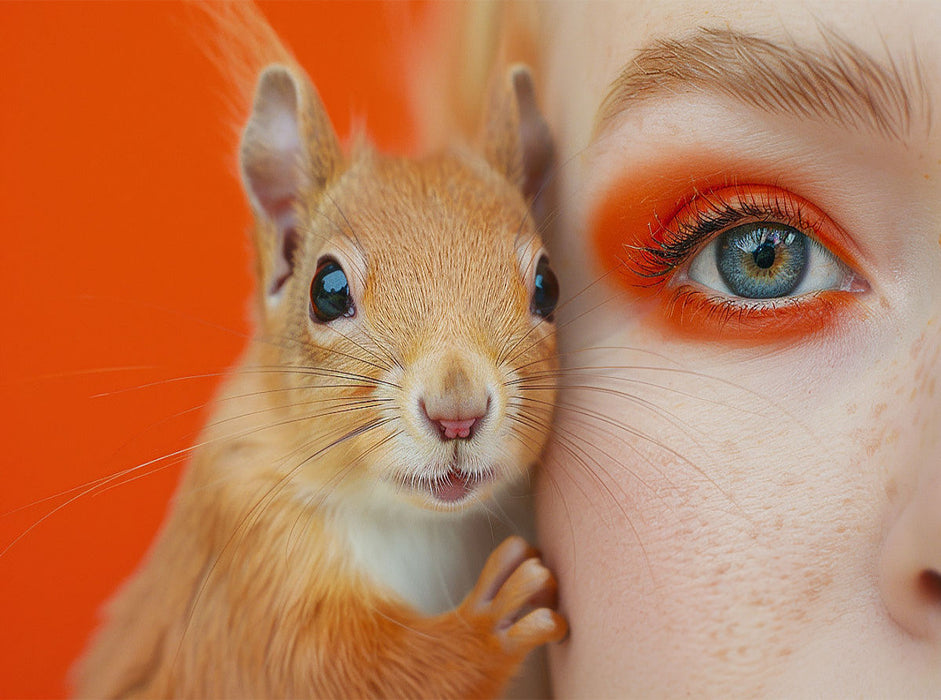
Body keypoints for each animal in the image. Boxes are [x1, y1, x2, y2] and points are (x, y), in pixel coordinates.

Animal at [72, 9, 565, 700]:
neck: (419, 522)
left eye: (548, 285)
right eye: (327, 290)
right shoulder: (251, 574)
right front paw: (490, 624)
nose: (457, 415)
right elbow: (339, 665)